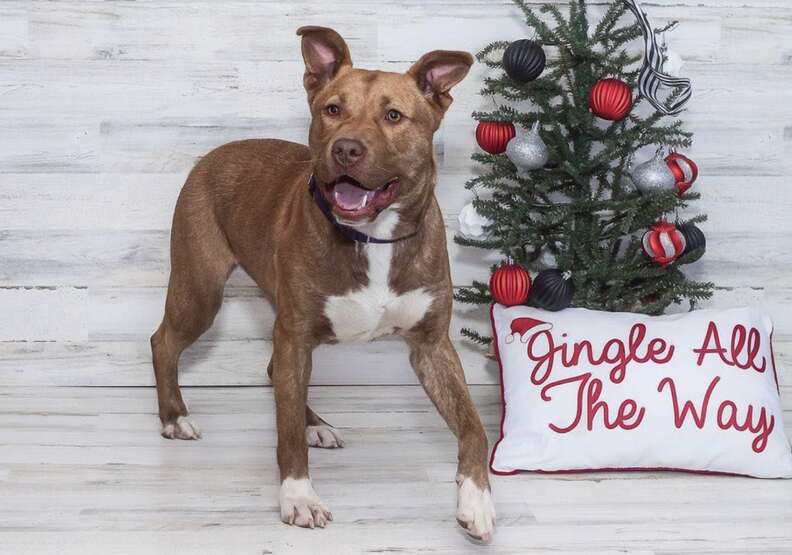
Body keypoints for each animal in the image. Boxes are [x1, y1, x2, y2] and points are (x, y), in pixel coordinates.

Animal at [150, 27, 496, 544]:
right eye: (332, 109)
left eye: (394, 116)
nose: (346, 148)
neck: (373, 236)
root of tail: (217, 151)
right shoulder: (295, 334)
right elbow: (286, 434)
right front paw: (298, 497)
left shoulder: (432, 345)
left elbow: (475, 427)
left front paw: (476, 500)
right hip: (201, 288)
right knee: (165, 342)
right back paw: (174, 417)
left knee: (276, 372)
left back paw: (317, 424)